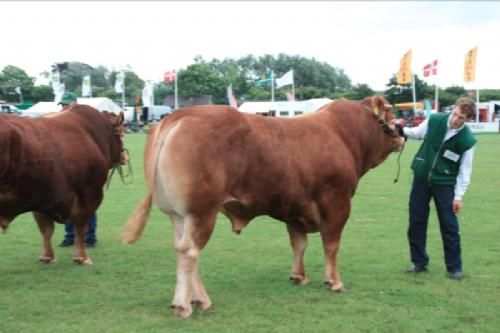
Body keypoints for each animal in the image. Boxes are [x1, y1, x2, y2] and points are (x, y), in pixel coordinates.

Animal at [1, 104, 127, 264]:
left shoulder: (40, 196)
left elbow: (46, 229)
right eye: (121, 134)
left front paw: (47, 256)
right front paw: (82, 257)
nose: (124, 156)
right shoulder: (90, 192)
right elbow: (81, 226)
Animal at [122, 95, 406, 316]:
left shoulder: (295, 210)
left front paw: (298, 276)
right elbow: (331, 245)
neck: (345, 135)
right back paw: (187, 305)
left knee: (184, 250)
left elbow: (299, 244)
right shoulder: (337, 203)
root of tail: (179, 115)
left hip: (179, 215)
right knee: (190, 252)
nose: (403, 133)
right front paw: (334, 282)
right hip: (202, 211)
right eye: (392, 112)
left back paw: (196, 299)